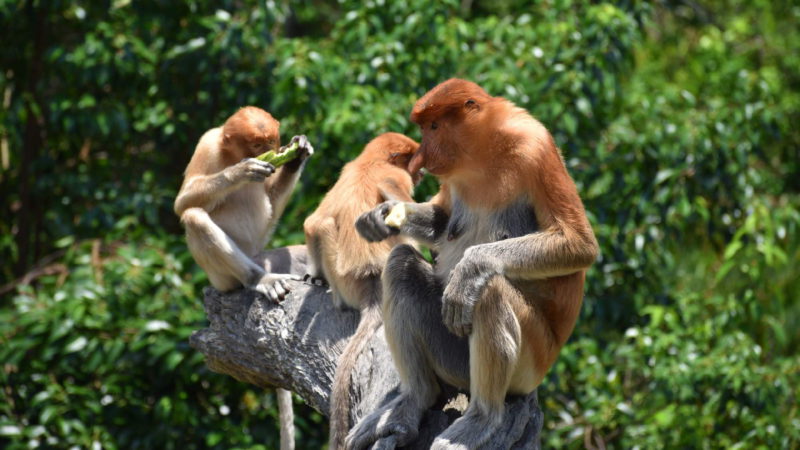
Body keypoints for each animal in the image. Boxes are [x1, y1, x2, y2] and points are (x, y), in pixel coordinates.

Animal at [175, 104, 312, 450]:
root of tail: (253, 257)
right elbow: (182, 203)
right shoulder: (207, 144)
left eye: (271, 141)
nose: (270, 151)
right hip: (222, 276)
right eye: (255, 145)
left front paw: (296, 154)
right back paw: (259, 281)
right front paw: (243, 171)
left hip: (265, 253)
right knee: (194, 216)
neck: (228, 152)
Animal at [304, 132, 422, 448]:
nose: (420, 173)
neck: (370, 161)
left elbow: (311, 224)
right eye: (412, 159)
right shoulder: (395, 175)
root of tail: (371, 281)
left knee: (321, 225)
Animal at [346, 79, 596, 448]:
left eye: (434, 127)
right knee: (400, 265)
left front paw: (469, 270)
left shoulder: (535, 149)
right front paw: (379, 217)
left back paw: (481, 418)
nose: (422, 156)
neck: (482, 152)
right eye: (424, 128)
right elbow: (442, 218)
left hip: (529, 365)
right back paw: (415, 398)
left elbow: (578, 242)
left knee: (491, 292)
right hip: (452, 356)